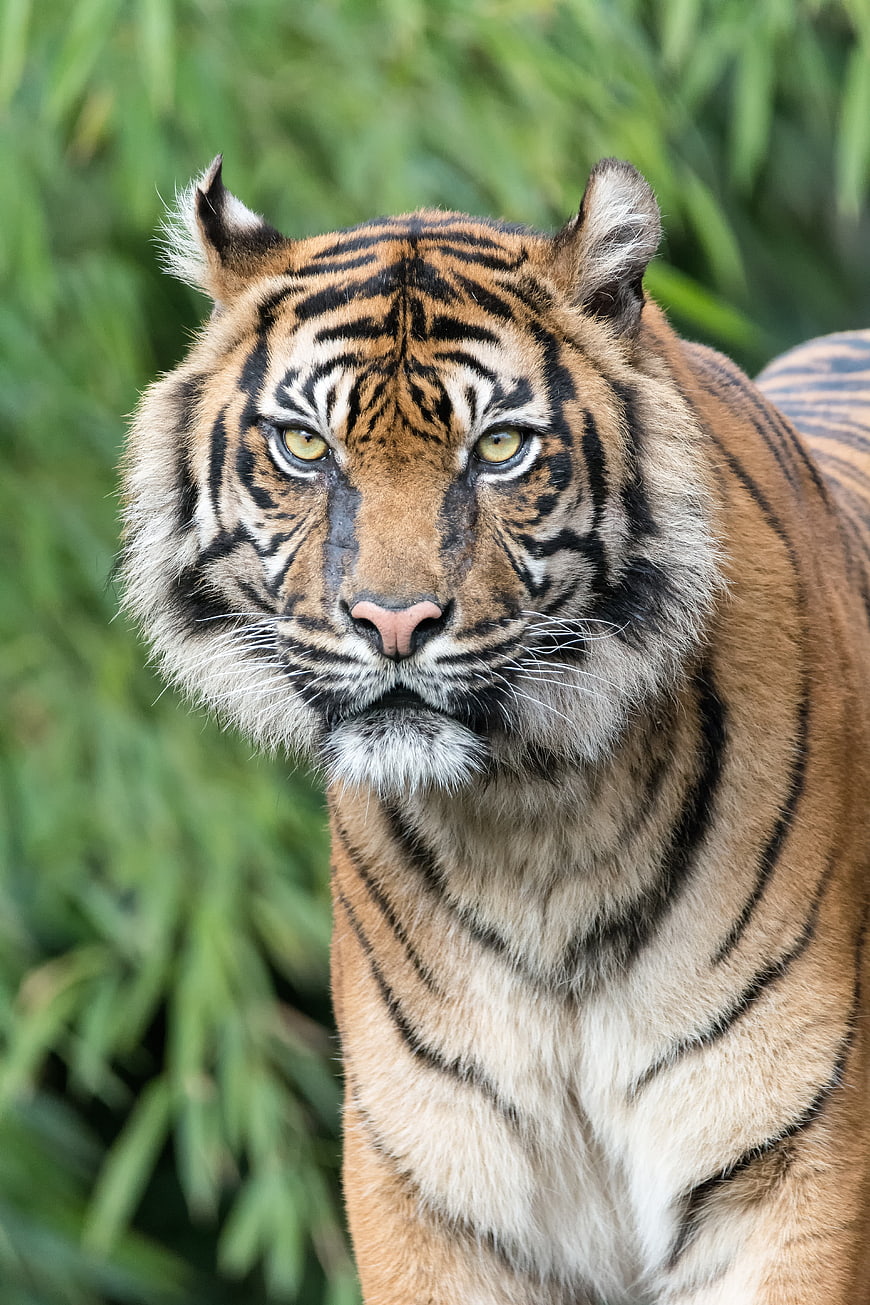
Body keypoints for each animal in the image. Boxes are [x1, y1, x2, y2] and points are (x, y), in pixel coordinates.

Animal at [121, 155, 870, 1303]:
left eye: (503, 447)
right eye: (304, 445)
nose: (392, 623)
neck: (537, 819)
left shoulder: (791, 1166)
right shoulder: (432, 1185)